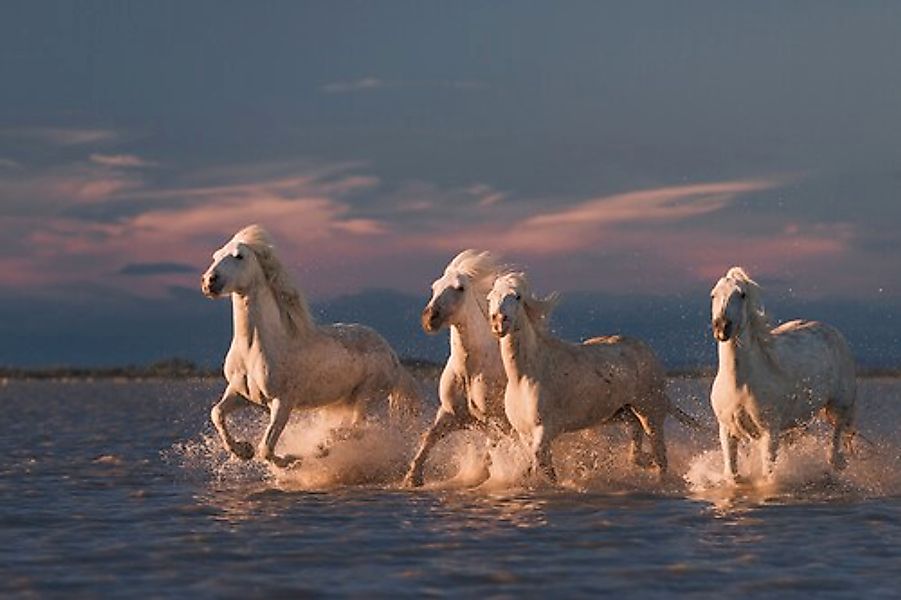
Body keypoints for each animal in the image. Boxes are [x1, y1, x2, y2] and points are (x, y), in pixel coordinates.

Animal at [200, 225, 422, 468]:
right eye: (215, 256)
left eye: (239, 256)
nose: (209, 282)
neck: (254, 349)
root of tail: (393, 355)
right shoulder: (240, 393)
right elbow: (216, 413)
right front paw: (242, 450)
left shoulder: (283, 402)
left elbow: (266, 449)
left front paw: (291, 459)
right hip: (344, 401)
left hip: (367, 394)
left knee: (358, 428)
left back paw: (323, 446)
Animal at [402, 248, 506, 488]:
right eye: (434, 287)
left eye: (460, 288)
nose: (430, 318)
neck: (470, 371)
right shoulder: (451, 414)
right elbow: (429, 438)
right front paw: (412, 479)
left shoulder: (496, 420)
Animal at [486, 272, 696, 482]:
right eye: (491, 297)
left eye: (517, 297)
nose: (499, 322)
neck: (525, 377)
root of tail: (648, 353)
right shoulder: (524, 434)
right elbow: (538, 466)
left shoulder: (544, 430)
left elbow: (541, 464)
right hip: (623, 414)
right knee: (637, 443)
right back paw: (643, 461)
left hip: (650, 413)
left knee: (661, 457)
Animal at [712, 268, 856, 482]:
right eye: (713, 295)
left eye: (742, 294)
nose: (722, 327)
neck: (739, 383)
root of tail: (833, 332)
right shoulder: (727, 430)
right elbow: (732, 474)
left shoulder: (769, 432)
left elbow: (767, 475)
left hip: (839, 405)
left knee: (836, 435)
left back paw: (835, 463)